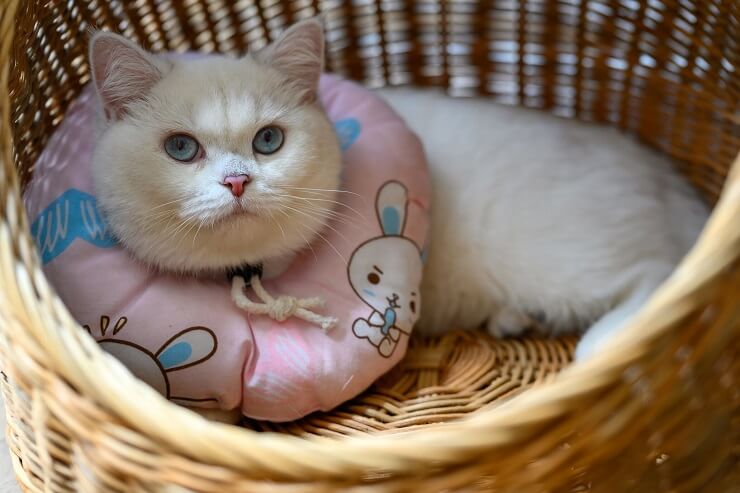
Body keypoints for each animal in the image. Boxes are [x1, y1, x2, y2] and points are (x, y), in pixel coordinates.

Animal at [89, 19, 708, 362]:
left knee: (663, 272)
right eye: (181, 149)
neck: (247, 269)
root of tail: (662, 177)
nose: (237, 180)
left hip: (566, 260)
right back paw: (513, 319)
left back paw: (605, 339)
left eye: (268, 140)